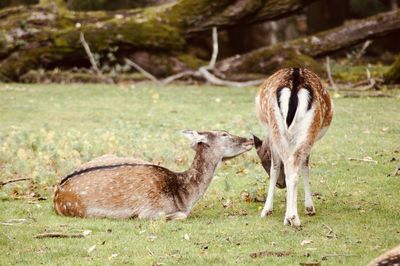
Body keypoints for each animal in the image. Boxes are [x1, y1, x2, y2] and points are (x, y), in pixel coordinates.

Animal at [54, 130, 253, 219]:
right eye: (224, 134)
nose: (250, 140)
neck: (184, 197)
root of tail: (56, 194)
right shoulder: (149, 211)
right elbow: (182, 215)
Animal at [255, 67, 332, 227]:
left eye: (263, 161)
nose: (281, 185)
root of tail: (295, 83)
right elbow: (304, 167)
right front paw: (310, 207)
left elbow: (276, 168)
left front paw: (266, 210)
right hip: (309, 129)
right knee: (293, 164)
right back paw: (293, 217)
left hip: (278, 127)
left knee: (289, 163)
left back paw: (290, 217)